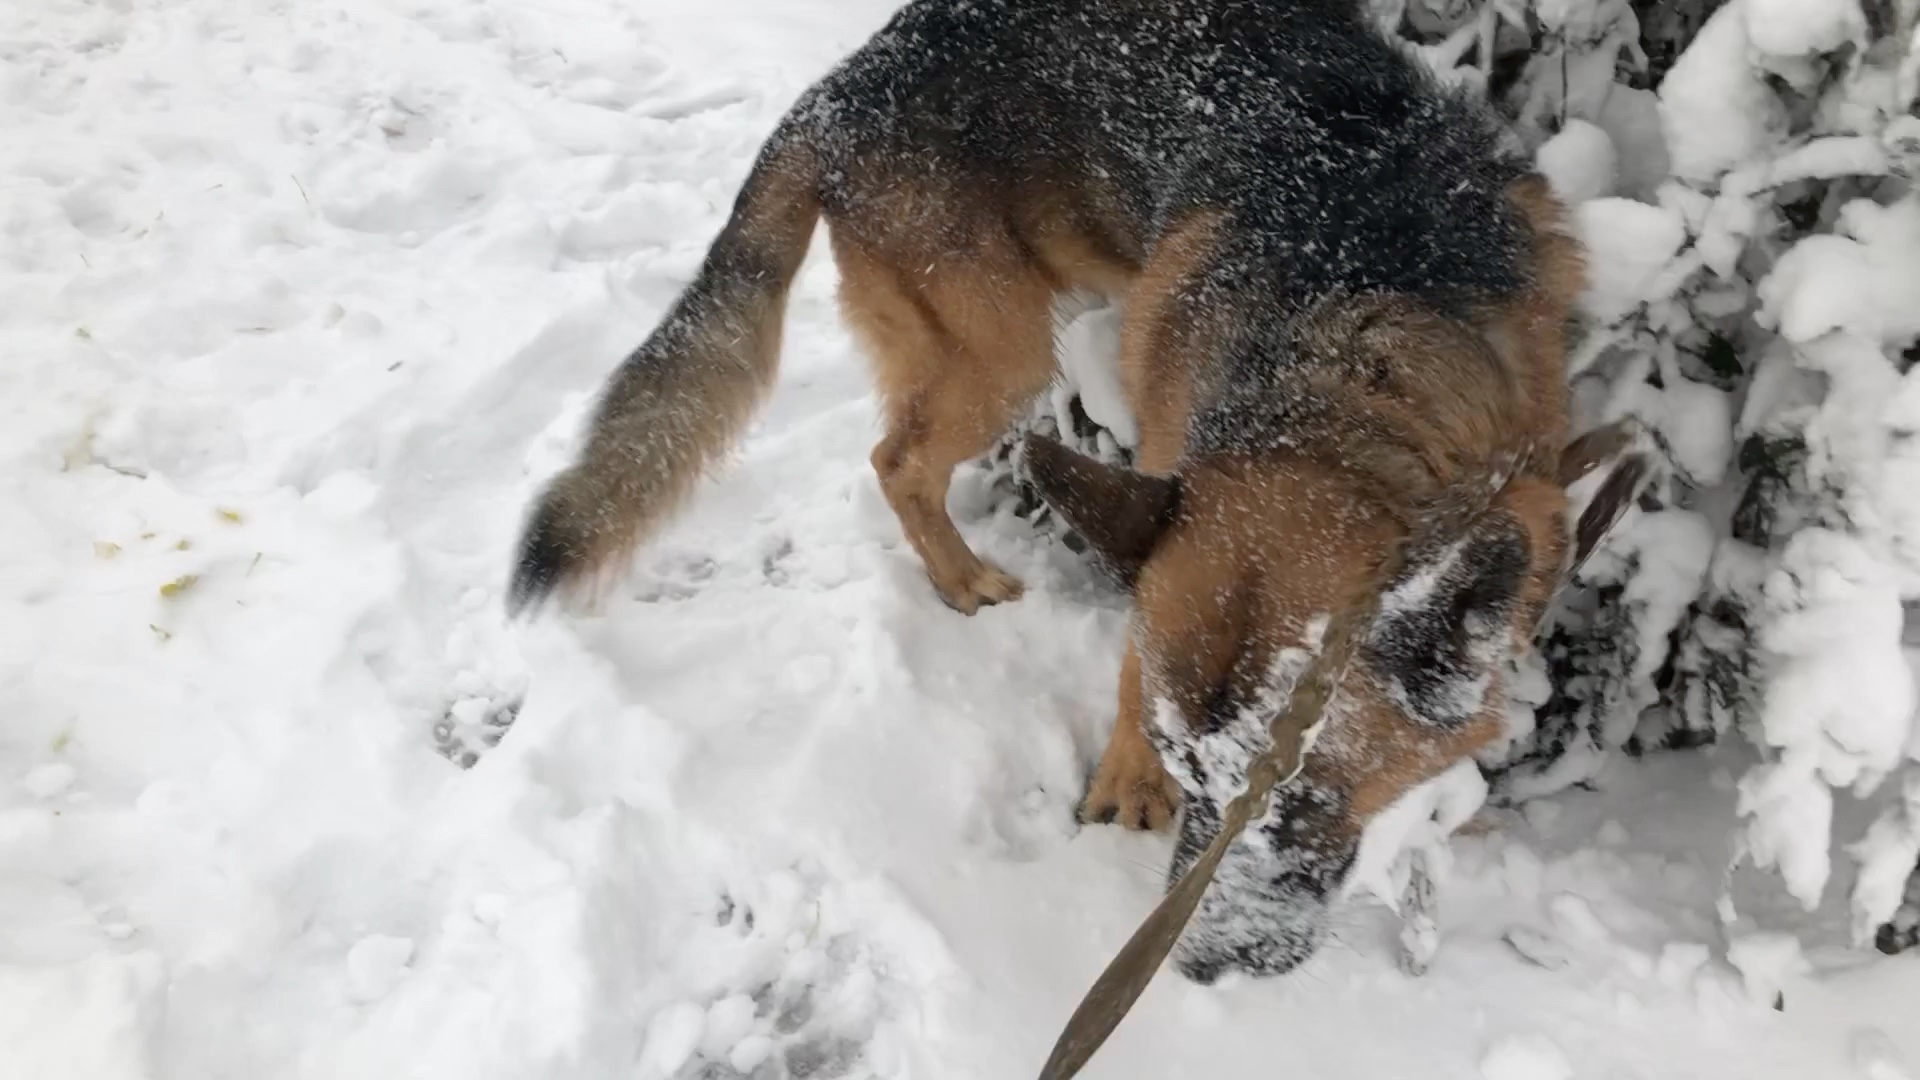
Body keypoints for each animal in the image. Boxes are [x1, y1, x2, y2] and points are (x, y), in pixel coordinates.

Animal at [514, 0, 1605, 980]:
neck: (1352, 386)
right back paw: (961, 580)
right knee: (896, 460)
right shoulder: (1170, 476)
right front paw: (1125, 779)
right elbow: (1136, 648)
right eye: (1185, 769)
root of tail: (840, 87)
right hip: (1001, 352)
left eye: (1306, 803)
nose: (1194, 968)